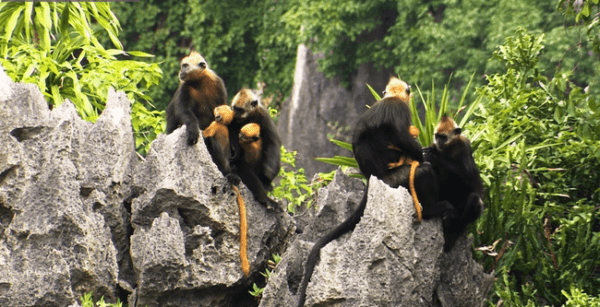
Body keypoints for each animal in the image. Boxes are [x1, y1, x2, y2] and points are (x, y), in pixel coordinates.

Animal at [296, 77, 450, 307]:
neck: (391, 97)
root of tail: (371, 178)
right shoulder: (399, 109)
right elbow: (403, 138)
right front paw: (420, 155)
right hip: (394, 180)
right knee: (422, 171)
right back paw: (432, 207)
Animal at [424, 115, 486, 253]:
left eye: (443, 137)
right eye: (437, 136)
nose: (439, 142)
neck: (449, 147)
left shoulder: (464, 145)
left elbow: (468, 177)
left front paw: (434, 156)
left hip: (460, 213)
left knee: (474, 198)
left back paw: (454, 231)